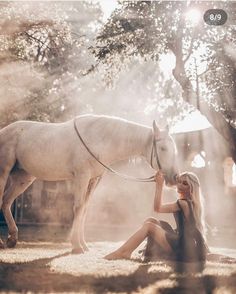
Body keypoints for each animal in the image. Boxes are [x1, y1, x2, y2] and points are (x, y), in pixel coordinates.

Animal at [0, 114, 178, 253]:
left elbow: (84, 209)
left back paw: (12, 239)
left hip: (23, 178)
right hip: (4, 172)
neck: (100, 138)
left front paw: (83, 244)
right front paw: (76, 246)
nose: (175, 177)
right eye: (163, 148)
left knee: (6, 202)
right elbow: (78, 208)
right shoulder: (82, 177)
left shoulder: (94, 180)